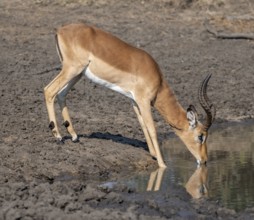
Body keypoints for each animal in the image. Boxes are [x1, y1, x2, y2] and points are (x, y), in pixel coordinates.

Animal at [43, 22, 214, 168]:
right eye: (201, 136)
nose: (204, 160)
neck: (157, 80)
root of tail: (60, 30)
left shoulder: (134, 100)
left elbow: (142, 124)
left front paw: (153, 154)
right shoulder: (144, 101)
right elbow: (152, 128)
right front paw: (162, 164)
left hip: (77, 74)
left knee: (61, 94)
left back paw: (73, 135)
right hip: (72, 69)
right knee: (49, 90)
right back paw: (58, 136)